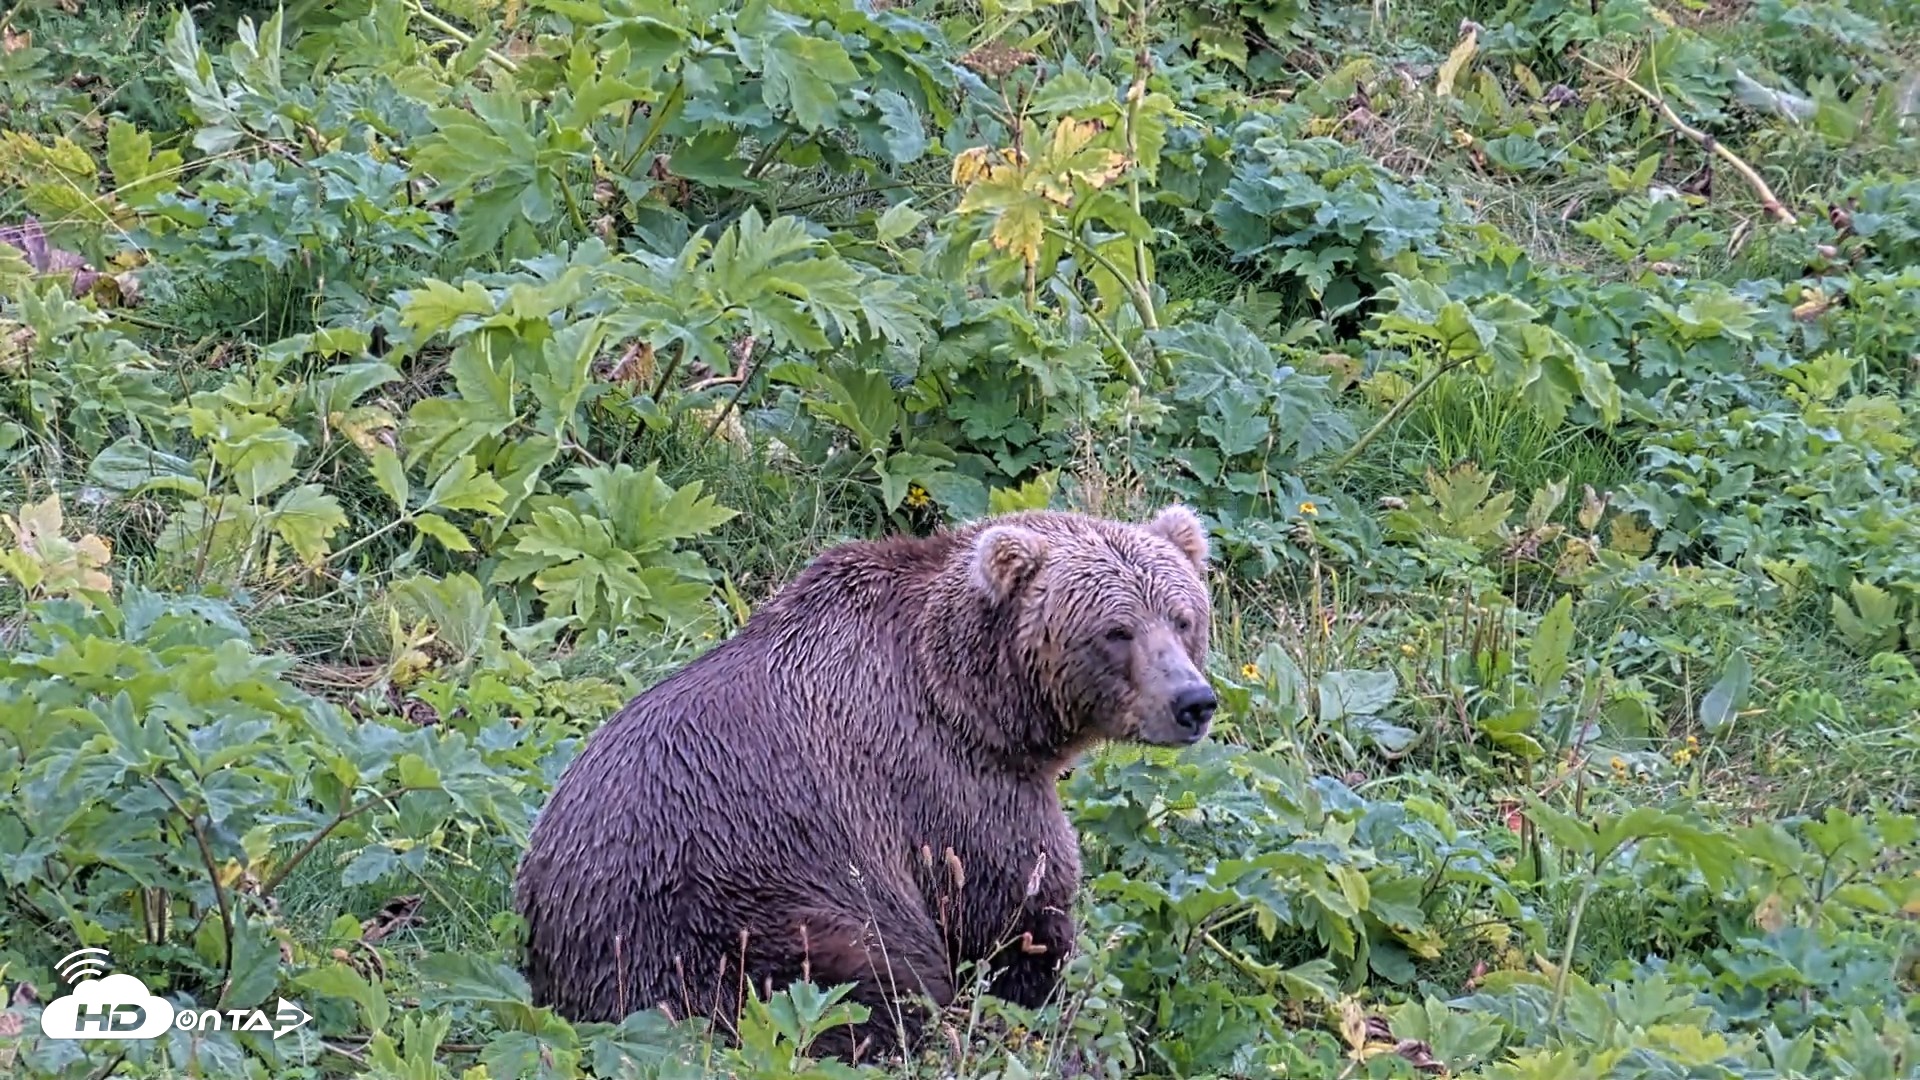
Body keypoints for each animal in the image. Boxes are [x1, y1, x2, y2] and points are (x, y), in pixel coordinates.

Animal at [511, 504, 1218, 1062]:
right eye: (1116, 630)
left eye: (1182, 617)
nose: (1193, 701)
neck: (976, 698)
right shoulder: (945, 784)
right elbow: (1015, 908)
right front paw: (1054, 1008)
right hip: (729, 920)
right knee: (855, 986)